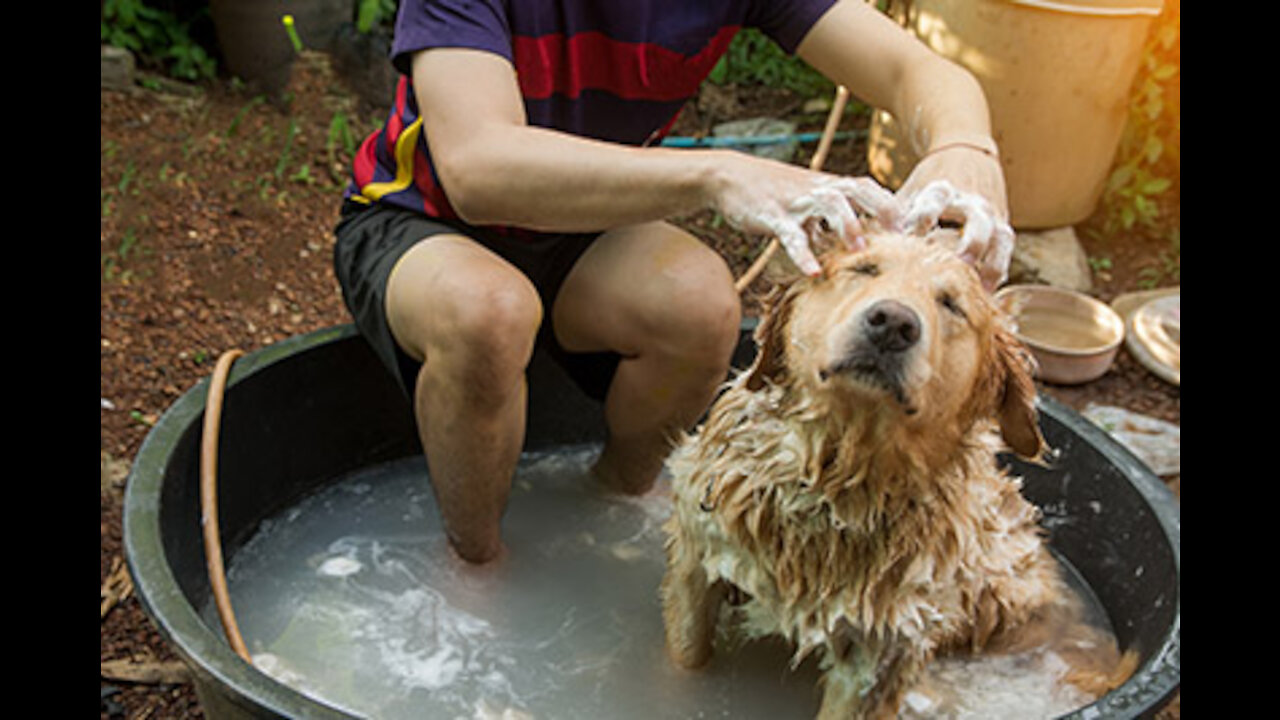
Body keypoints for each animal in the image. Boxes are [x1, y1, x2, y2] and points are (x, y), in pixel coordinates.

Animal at [660, 233, 1131, 712]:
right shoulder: (696, 559)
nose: (892, 323)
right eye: (864, 269)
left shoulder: (877, 652)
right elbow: (686, 655)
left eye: (951, 304)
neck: (833, 479)